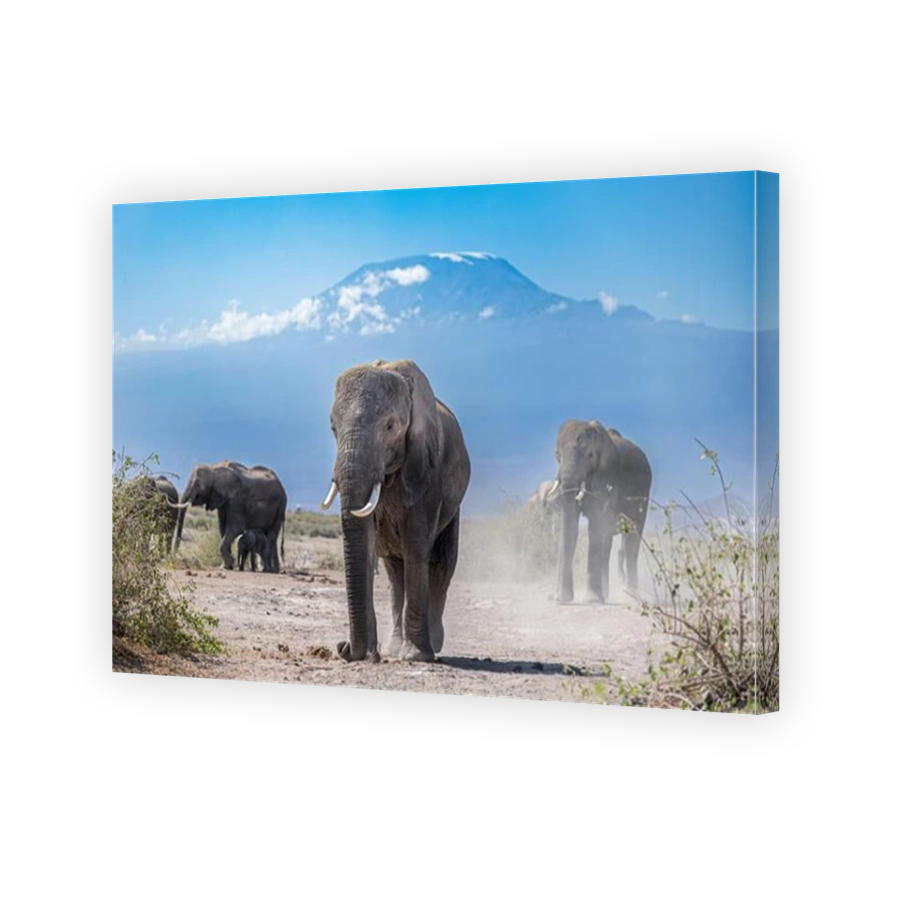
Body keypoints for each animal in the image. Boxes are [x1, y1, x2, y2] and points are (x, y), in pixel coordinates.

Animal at [320, 358, 471, 663]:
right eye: (333, 428)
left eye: (390, 427)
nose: (344, 648)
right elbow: (367, 543)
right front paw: (368, 652)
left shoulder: (427, 467)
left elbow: (417, 547)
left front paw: (415, 656)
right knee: (393, 571)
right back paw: (394, 646)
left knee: (442, 563)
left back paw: (432, 643)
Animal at [548, 420, 652, 604]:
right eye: (557, 455)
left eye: (590, 455)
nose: (560, 599)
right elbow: (571, 528)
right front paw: (559, 599)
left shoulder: (608, 475)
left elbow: (595, 527)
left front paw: (591, 600)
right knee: (608, 542)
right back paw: (607, 595)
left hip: (643, 493)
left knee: (632, 539)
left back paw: (630, 596)